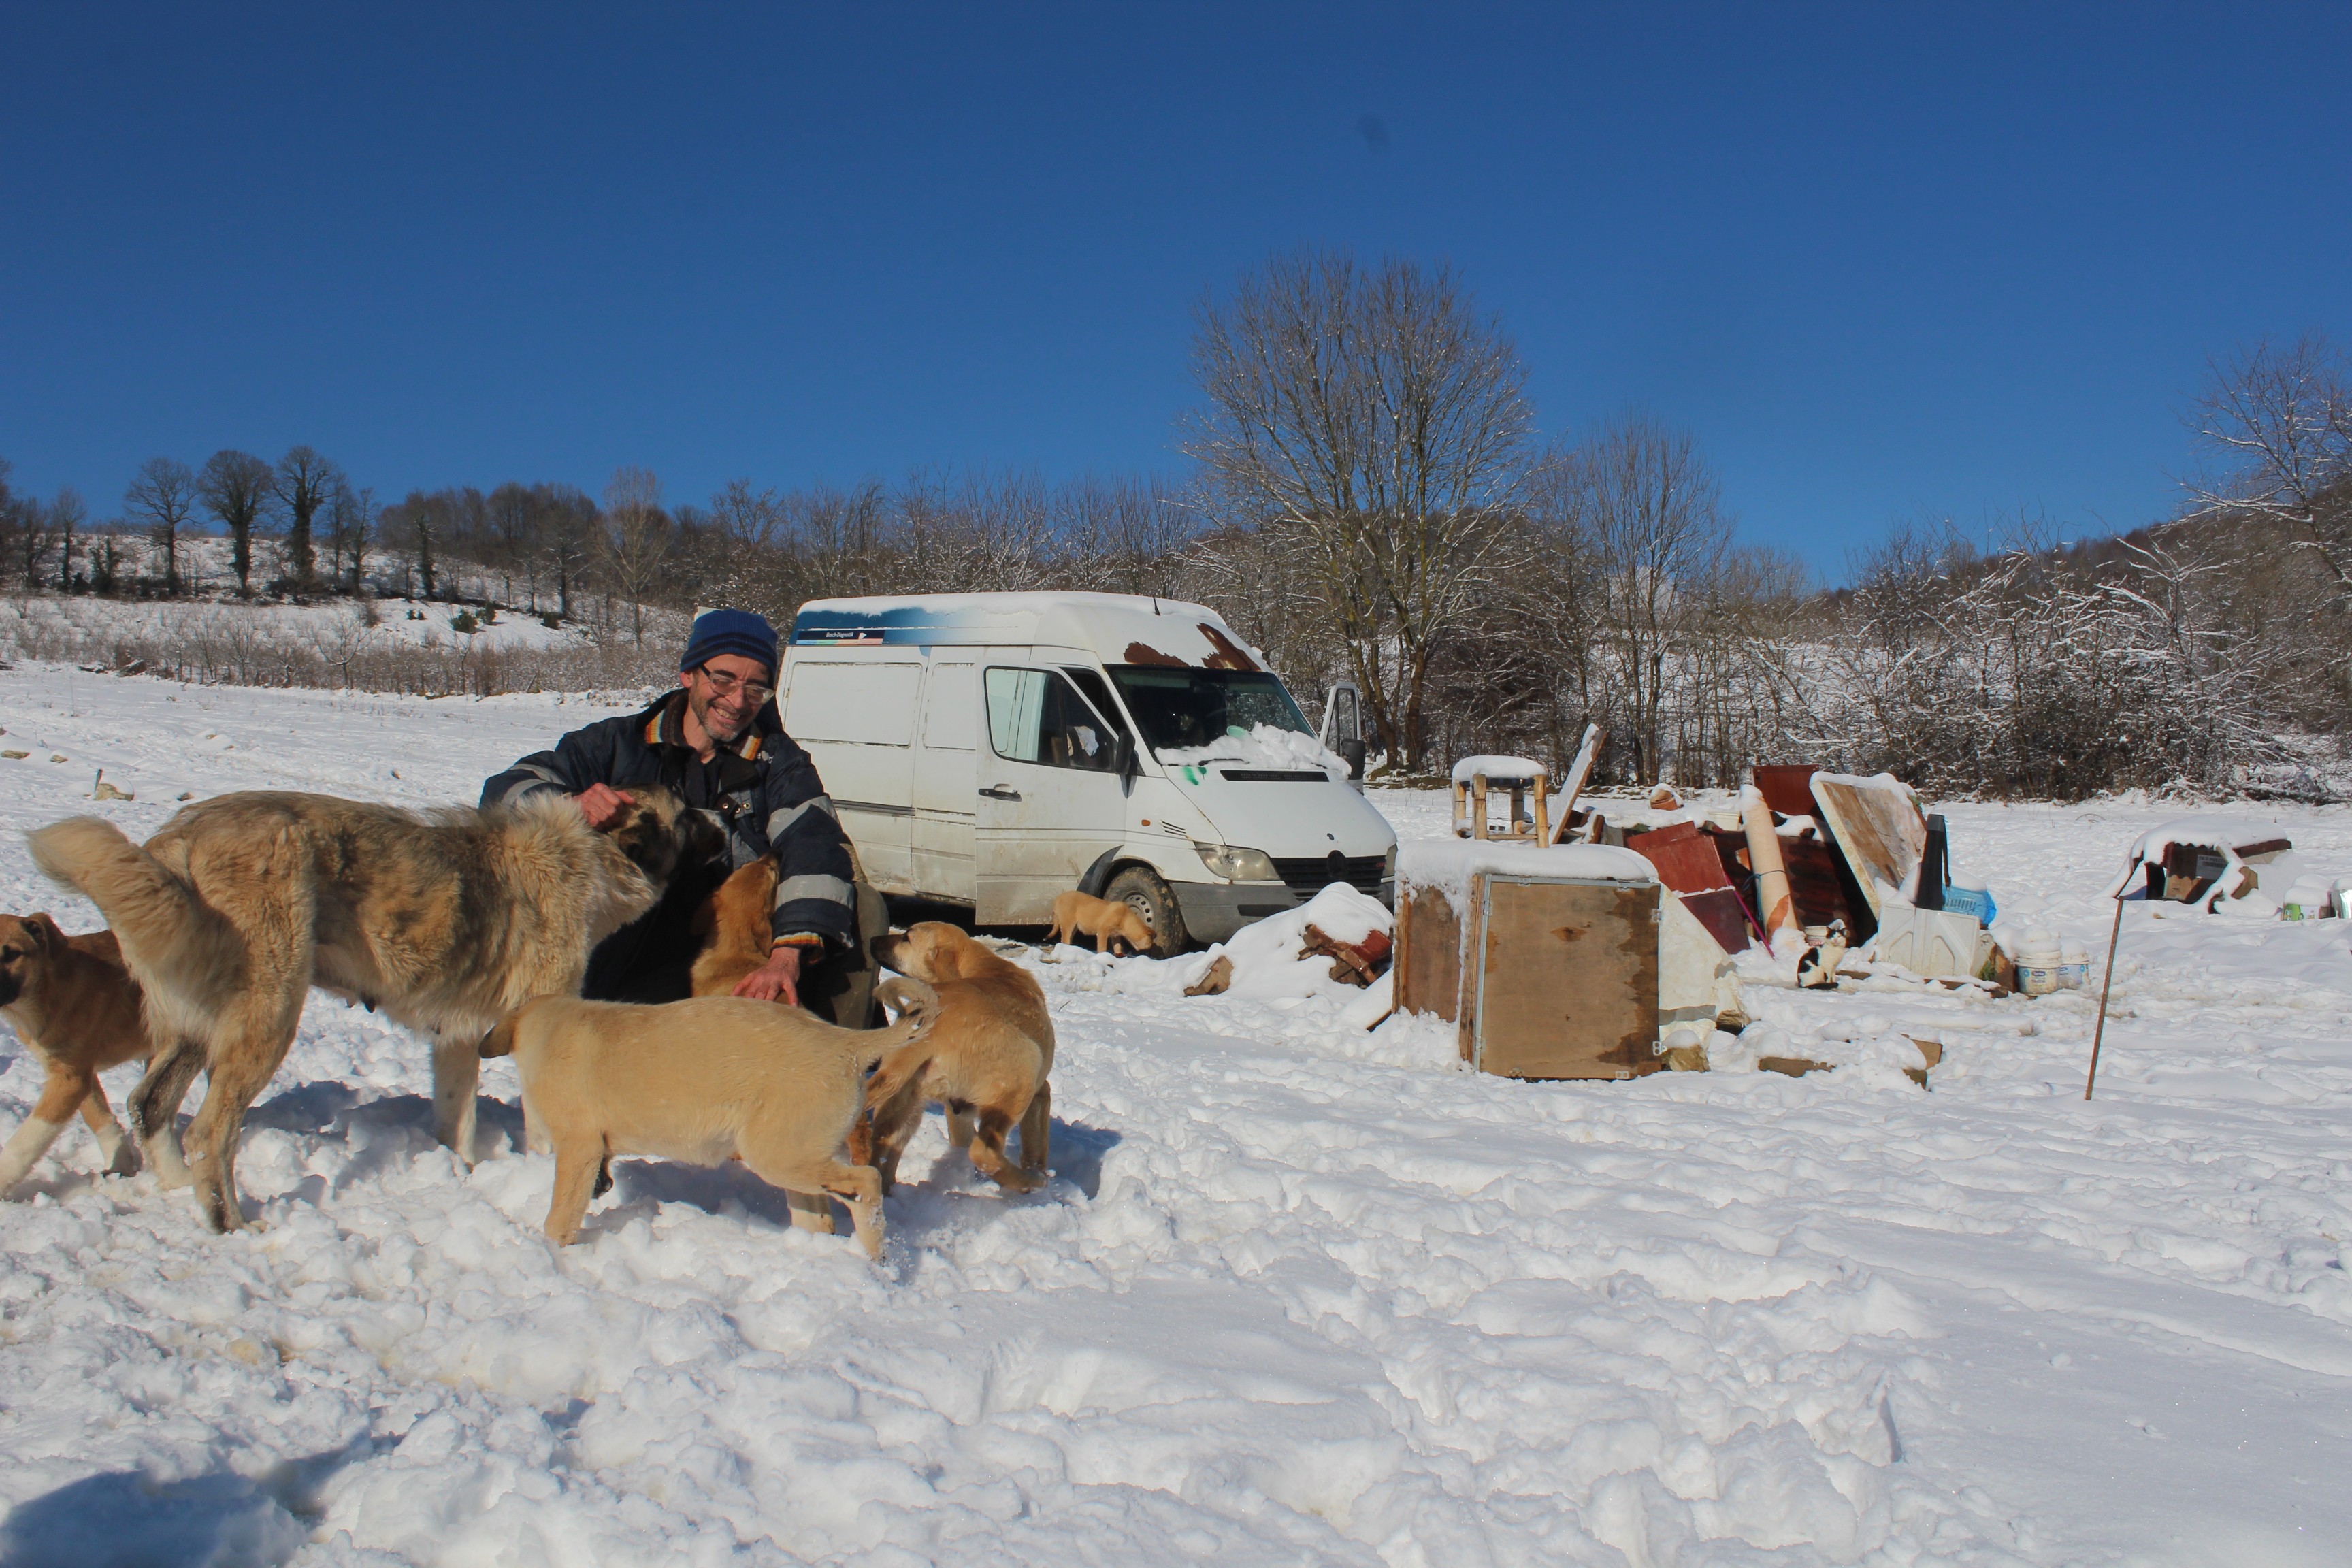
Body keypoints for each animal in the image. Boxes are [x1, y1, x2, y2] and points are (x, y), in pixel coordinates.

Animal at [0, 912, 182, 1194]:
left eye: (11, 954)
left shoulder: (70, 1080)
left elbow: (27, 1139)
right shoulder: (77, 1071)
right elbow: (97, 1115)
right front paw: (121, 1163)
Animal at [29, 789, 715, 1232]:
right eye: (685, 814)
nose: (721, 810)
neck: (589, 856)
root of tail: (178, 841)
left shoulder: (457, 1038)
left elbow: (456, 1120)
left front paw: (464, 1173)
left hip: (201, 1019)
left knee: (150, 1104)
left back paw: (173, 1189)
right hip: (270, 1013)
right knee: (209, 1131)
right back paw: (231, 1225)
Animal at [477, 973, 936, 1260]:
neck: (549, 1031)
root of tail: (846, 1043)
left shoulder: (578, 1148)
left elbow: (560, 1217)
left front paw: (553, 1250)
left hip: (779, 1156)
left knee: (868, 1182)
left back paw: (877, 1258)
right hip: (792, 1159)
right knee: (820, 1216)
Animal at [860, 926, 1054, 1194]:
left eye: (906, 937)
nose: (871, 940)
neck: (983, 965)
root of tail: (932, 1031)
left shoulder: (957, 1112)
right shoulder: (1041, 1092)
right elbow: (1036, 1148)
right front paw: (1039, 1176)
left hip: (902, 1102)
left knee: (882, 1152)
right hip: (1022, 1076)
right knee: (983, 1153)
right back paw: (1029, 1182)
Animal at [1049, 888, 1157, 964]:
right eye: (1151, 940)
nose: (1150, 951)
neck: (1125, 918)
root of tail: (1057, 898)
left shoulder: (1116, 935)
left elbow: (1118, 946)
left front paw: (1119, 955)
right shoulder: (1103, 931)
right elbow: (1102, 947)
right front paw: (1102, 957)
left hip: (1074, 927)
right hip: (1068, 923)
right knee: (1065, 940)